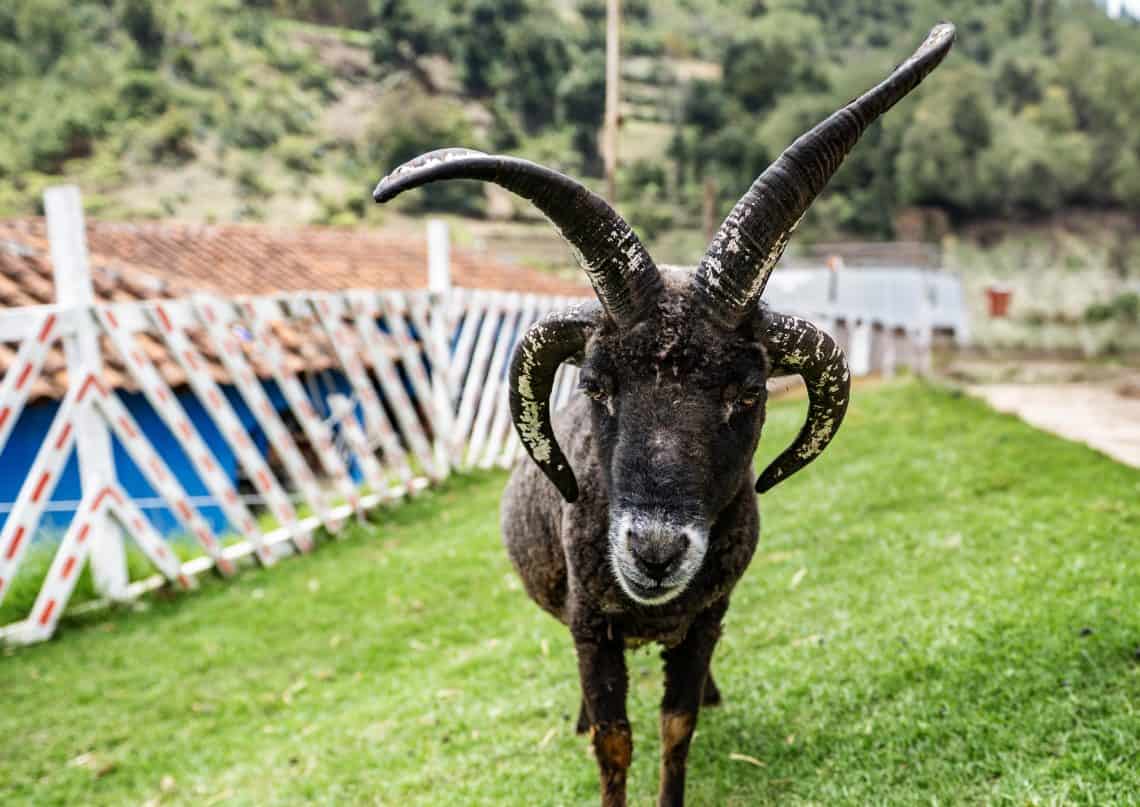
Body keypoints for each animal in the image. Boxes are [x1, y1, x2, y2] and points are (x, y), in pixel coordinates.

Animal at [372, 24, 955, 807]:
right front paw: (600, 742)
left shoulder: (708, 614)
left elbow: (677, 726)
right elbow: (615, 739)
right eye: (595, 384)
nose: (654, 552)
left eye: (749, 393)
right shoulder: (592, 626)